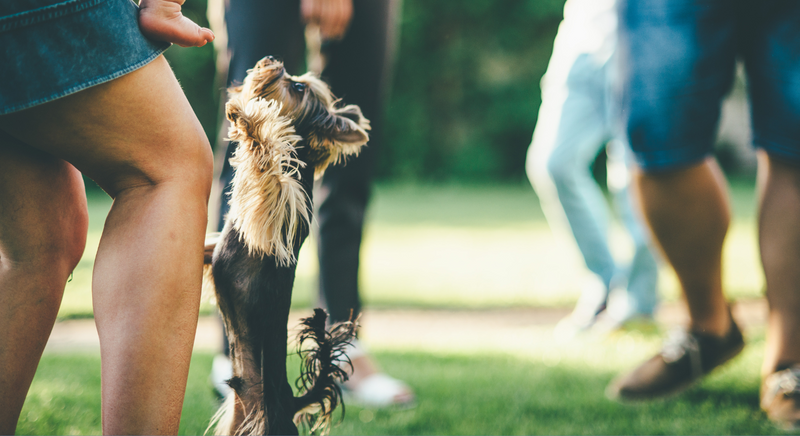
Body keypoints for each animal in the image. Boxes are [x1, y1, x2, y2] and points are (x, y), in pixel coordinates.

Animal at [205, 56, 370, 434]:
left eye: (297, 87)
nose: (272, 61)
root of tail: (290, 402)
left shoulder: (280, 204)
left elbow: (265, 157)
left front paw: (247, 119)